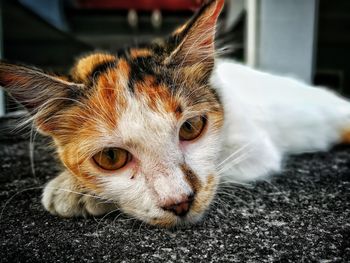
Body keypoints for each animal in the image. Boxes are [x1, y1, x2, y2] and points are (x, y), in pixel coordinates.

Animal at [0, 0, 350, 228]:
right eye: (111, 157)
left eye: (191, 127)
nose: (179, 202)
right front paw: (74, 187)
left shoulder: (257, 147)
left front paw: (73, 192)